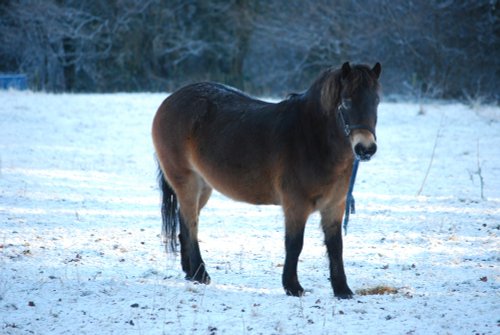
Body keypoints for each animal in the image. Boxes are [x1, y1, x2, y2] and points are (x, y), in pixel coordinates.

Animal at [150, 62, 380, 300]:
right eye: (346, 101)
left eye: (376, 101)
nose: (366, 148)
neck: (311, 138)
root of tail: (170, 100)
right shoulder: (296, 205)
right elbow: (295, 244)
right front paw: (293, 286)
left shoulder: (334, 206)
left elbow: (336, 246)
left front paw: (342, 289)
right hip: (187, 183)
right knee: (191, 225)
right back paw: (200, 273)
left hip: (203, 188)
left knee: (185, 223)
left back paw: (190, 272)